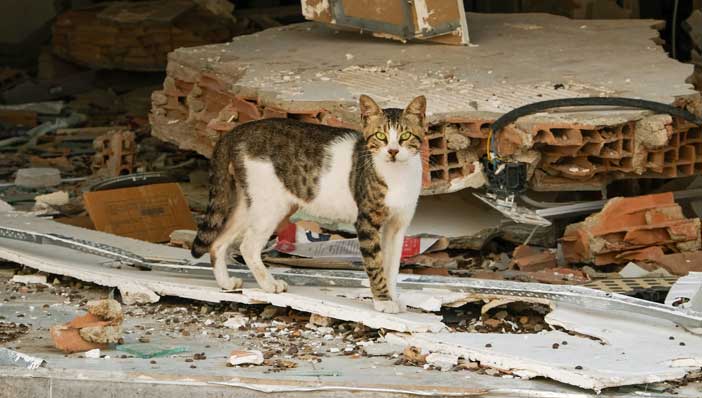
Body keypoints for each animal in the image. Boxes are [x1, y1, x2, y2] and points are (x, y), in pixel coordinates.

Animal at [190, 95, 426, 312]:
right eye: (380, 136)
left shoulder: (397, 226)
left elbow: (391, 266)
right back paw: (269, 285)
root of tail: (236, 131)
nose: (393, 151)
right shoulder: (367, 222)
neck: (397, 176)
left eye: (405, 136)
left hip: (251, 204)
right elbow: (376, 265)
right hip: (270, 206)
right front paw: (383, 302)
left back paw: (226, 283)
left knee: (217, 241)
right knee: (247, 246)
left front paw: (392, 298)